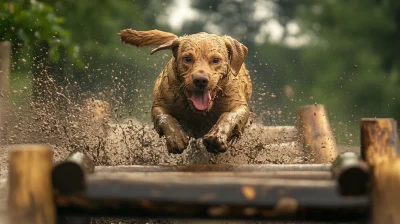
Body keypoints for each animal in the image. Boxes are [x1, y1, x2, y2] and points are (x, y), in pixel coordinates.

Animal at [119, 28, 252, 153]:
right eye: (187, 59)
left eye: (216, 60)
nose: (200, 80)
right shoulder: (159, 104)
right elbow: (164, 117)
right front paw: (176, 139)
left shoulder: (240, 106)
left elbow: (229, 116)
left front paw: (216, 137)